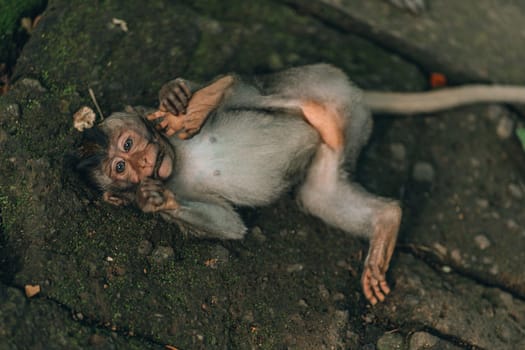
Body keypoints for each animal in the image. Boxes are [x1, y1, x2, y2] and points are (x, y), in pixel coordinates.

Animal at [77, 64, 525, 304]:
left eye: (128, 145)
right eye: (120, 168)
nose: (143, 163)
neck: (175, 158)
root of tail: (354, 96)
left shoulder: (157, 128)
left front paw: (174, 96)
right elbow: (229, 225)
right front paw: (154, 200)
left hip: (319, 83)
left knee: (255, 91)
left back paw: (206, 100)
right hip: (338, 137)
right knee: (319, 195)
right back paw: (387, 222)